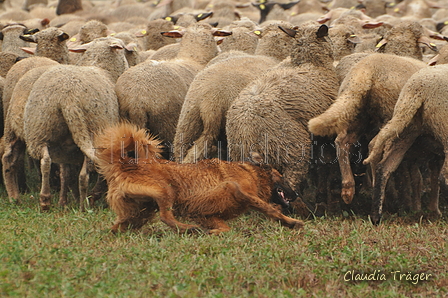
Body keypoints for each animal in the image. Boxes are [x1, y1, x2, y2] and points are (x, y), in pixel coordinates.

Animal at [94, 122, 304, 234]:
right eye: (282, 178)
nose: (295, 194)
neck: (252, 173)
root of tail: (125, 163)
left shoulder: (208, 215)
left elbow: (224, 228)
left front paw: (215, 233)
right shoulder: (242, 191)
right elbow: (270, 209)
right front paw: (291, 222)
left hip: (140, 211)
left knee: (118, 227)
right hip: (165, 190)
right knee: (165, 216)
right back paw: (188, 228)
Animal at [360, 65, 448, 224]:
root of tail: (418, 90)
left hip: (406, 126)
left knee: (384, 167)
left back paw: (376, 216)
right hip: (442, 127)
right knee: (444, 176)